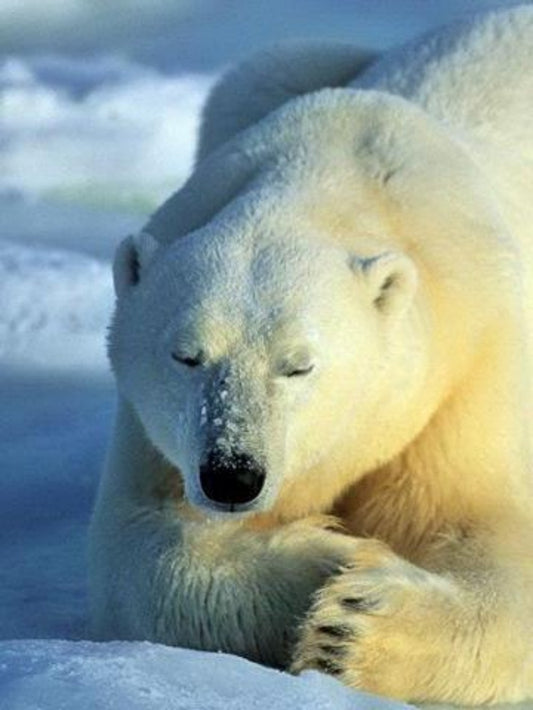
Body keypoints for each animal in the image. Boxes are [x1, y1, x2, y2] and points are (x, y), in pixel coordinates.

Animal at [89, 6, 533, 705]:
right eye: (186, 356)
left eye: (298, 365)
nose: (232, 474)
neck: (338, 174)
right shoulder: (154, 432)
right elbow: (137, 550)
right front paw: (327, 557)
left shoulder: (467, 368)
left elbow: (487, 535)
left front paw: (349, 628)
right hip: (264, 76)